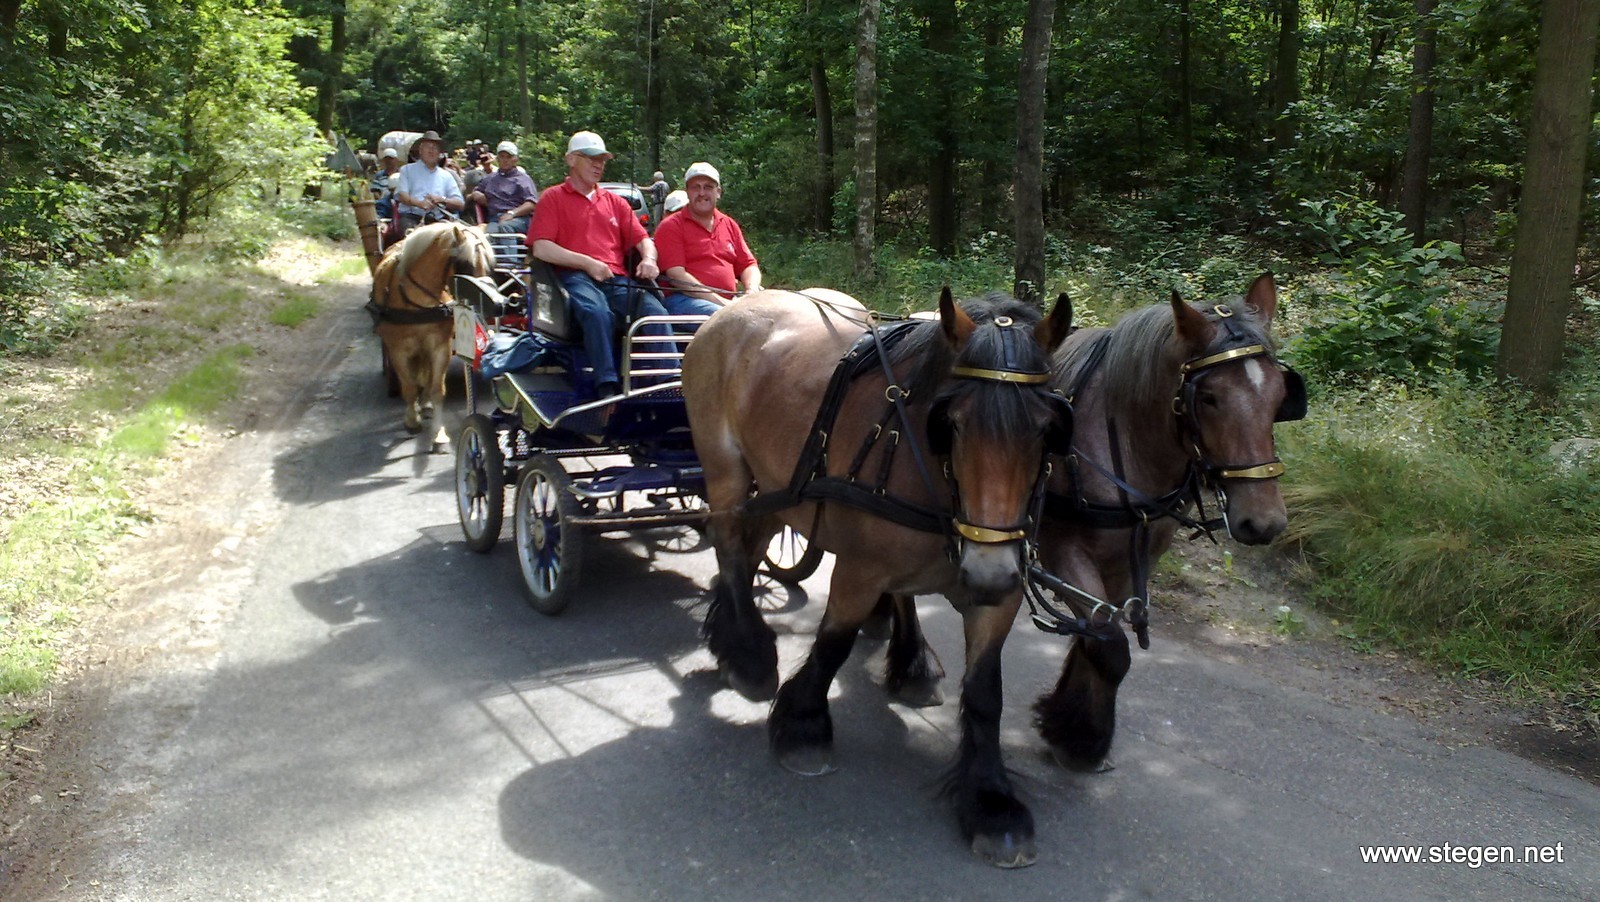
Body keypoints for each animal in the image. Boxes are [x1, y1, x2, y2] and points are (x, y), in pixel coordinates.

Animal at [368, 220, 492, 451]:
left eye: (488, 264)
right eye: (467, 265)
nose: (488, 304)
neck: (417, 299)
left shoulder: (439, 346)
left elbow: (437, 389)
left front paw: (439, 434)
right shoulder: (399, 349)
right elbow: (408, 387)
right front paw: (412, 422)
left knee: (425, 373)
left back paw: (425, 404)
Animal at [684, 287, 1075, 863]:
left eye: (1049, 429)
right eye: (950, 424)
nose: (987, 574)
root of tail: (739, 304)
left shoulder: (1000, 588)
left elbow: (985, 691)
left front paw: (990, 801)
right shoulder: (860, 568)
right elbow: (833, 644)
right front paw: (802, 727)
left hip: (782, 483)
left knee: (752, 544)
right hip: (726, 467)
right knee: (731, 545)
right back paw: (748, 656)